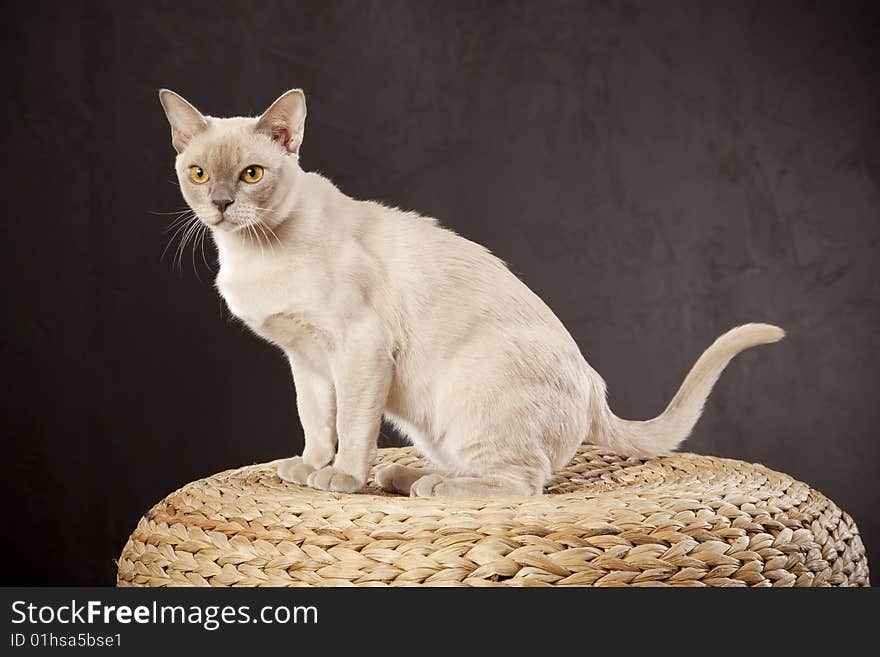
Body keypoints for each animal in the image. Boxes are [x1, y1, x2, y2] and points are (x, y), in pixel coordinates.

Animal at [158, 87, 784, 498]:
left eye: (251, 175)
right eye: (198, 174)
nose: (220, 203)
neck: (254, 253)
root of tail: (593, 386)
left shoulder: (358, 349)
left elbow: (353, 429)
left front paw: (341, 479)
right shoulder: (306, 360)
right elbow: (315, 423)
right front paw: (308, 468)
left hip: (469, 389)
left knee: (522, 483)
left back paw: (425, 487)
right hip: (432, 422)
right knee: (480, 468)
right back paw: (406, 476)